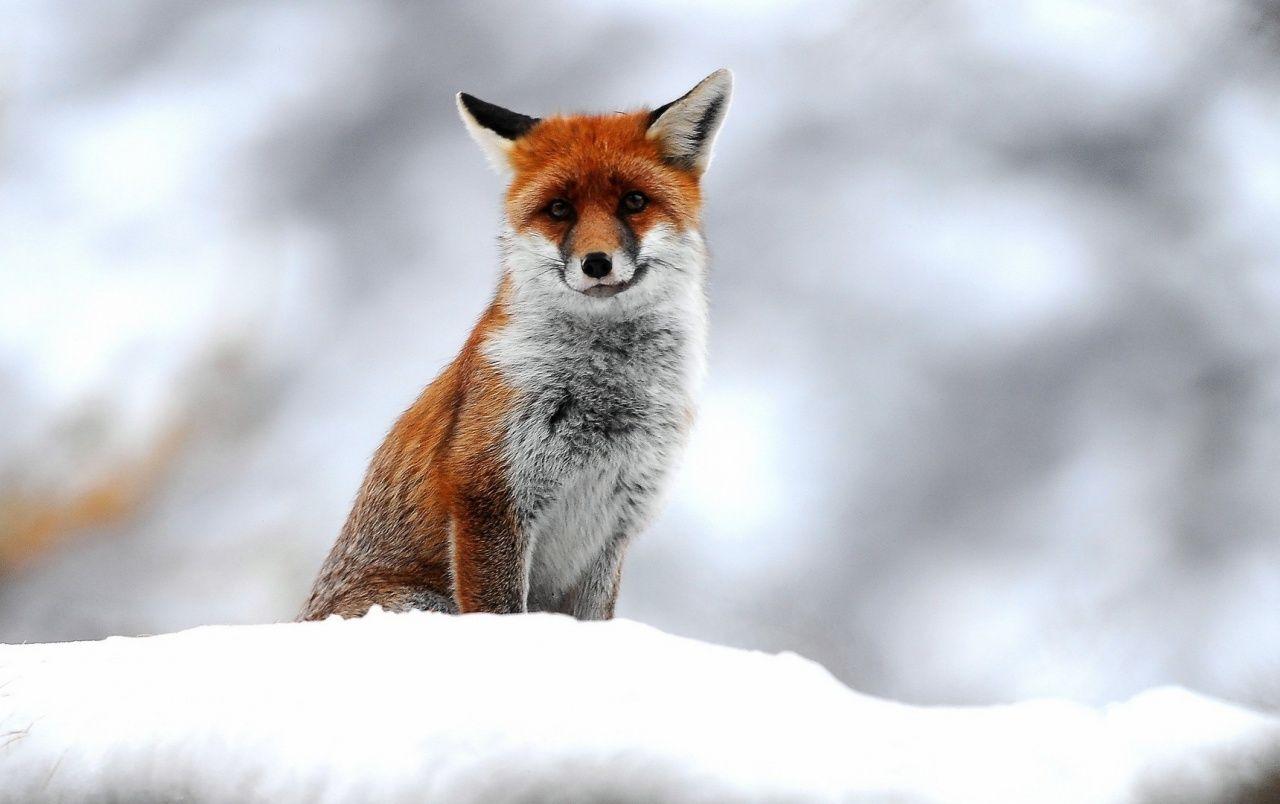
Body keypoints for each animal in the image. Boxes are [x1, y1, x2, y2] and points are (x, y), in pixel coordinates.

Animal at [301, 70, 732, 621]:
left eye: (634, 201)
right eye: (559, 209)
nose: (596, 262)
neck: (607, 395)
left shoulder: (614, 526)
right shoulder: (490, 495)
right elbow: (501, 610)